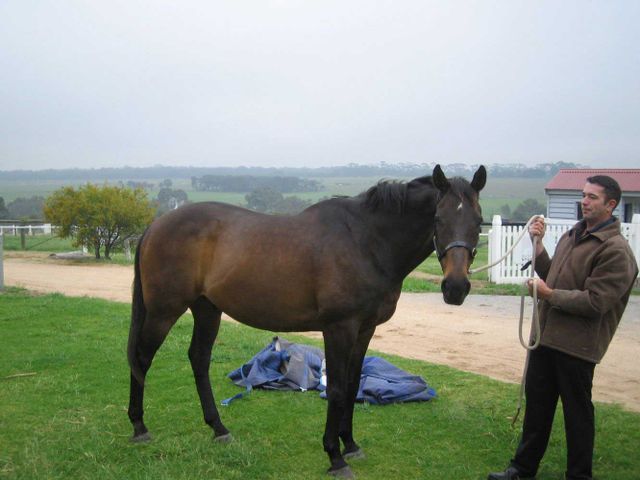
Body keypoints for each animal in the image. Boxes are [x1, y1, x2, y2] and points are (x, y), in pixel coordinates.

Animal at [127, 164, 486, 477]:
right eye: (438, 218)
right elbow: (338, 389)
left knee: (199, 359)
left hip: (207, 309)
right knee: (142, 358)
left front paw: (350, 444)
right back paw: (139, 426)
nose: (455, 287)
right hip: (164, 311)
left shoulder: (365, 329)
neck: (366, 241)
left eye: (479, 220)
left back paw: (218, 428)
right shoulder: (339, 328)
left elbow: (353, 385)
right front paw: (335, 457)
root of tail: (156, 225)